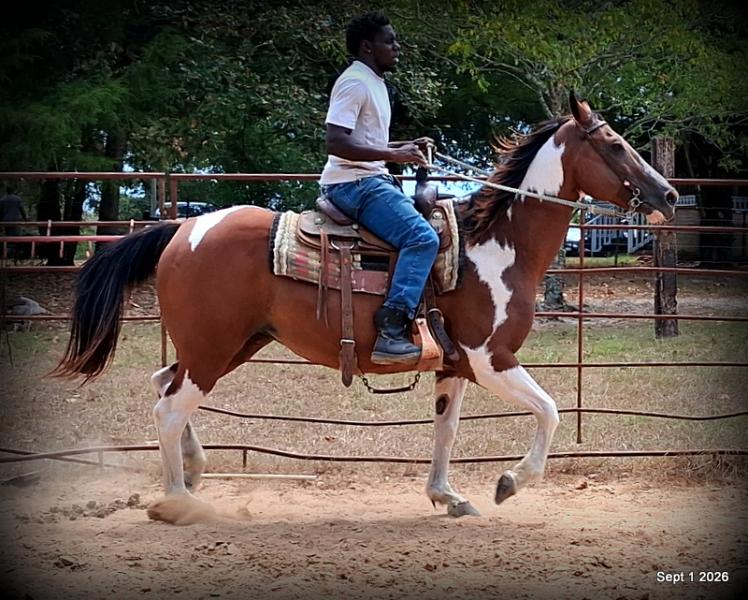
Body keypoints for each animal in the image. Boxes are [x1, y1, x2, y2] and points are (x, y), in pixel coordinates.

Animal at [53, 93, 677, 523]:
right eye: (615, 144)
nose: (668, 194)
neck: (496, 246)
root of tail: (183, 229)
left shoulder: (455, 365)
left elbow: (446, 429)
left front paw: (448, 497)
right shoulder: (490, 357)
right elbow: (549, 411)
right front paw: (509, 483)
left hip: (233, 344)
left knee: (165, 385)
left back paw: (193, 471)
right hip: (213, 347)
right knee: (169, 407)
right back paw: (180, 501)